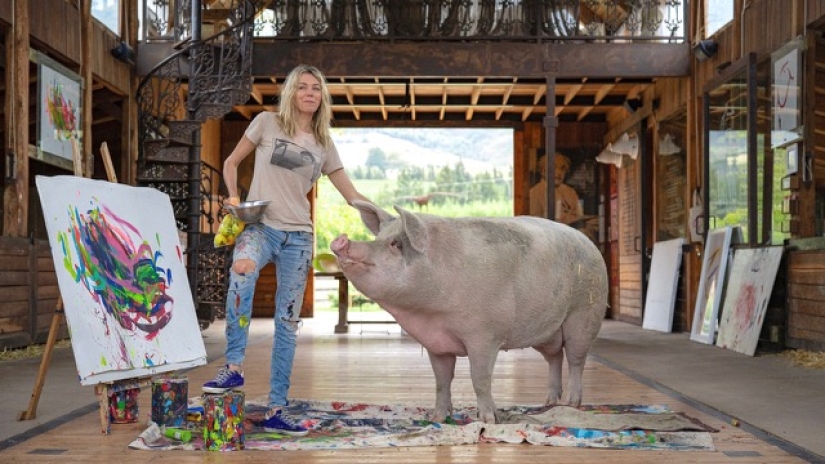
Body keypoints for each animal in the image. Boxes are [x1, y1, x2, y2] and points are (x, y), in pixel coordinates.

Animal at [331, 201, 608, 424]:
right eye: (378, 239)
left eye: (396, 244)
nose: (341, 240)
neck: (429, 314)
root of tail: (590, 244)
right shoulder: (436, 344)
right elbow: (442, 381)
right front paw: (437, 418)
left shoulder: (485, 335)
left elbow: (480, 378)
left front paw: (487, 420)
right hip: (547, 331)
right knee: (554, 358)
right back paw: (550, 402)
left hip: (585, 315)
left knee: (575, 359)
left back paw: (571, 404)